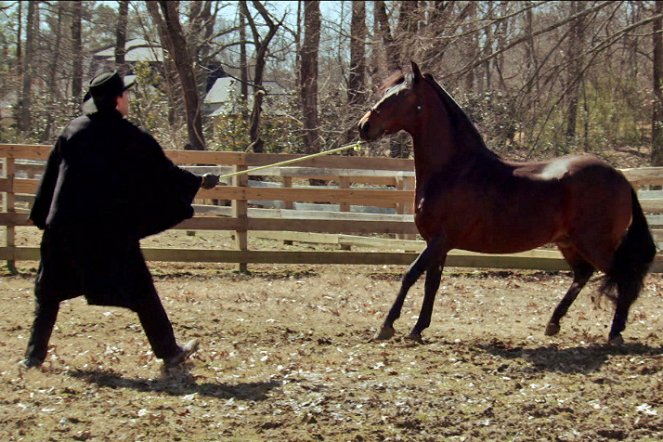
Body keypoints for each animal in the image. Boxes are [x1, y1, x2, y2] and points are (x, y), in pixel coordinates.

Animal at [360, 62, 656, 346]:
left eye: (401, 95)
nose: (364, 127)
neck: (454, 169)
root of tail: (619, 176)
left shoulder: (440, 239)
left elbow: (410, 274)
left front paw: (386, 326)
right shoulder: (438, 244)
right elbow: (431, 283)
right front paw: (418, 329)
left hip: (596, 244)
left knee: (624, 275)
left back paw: (615, 333)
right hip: (569, 242)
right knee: (583, 274)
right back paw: (553, 324)